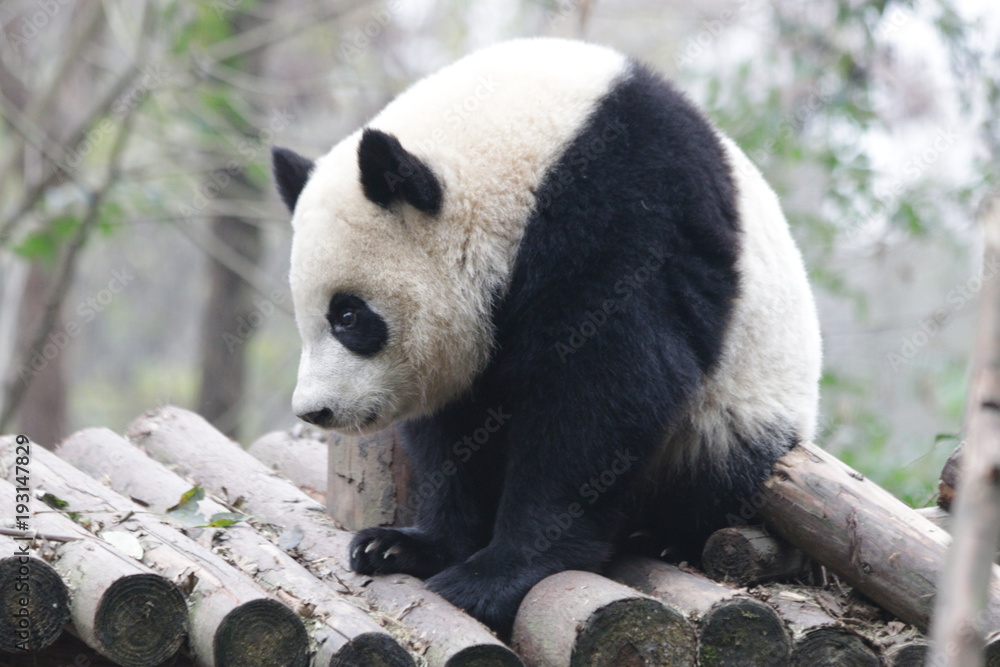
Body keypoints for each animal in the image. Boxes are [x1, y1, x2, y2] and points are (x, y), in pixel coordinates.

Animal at [271, 38, 821, 636]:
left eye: (348, 316)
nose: (315, 411)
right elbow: (458, 429)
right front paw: (406, 546)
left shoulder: (626, 216)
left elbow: (603, 396)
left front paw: (489, 578)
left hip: (734, 413)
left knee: (712, 477)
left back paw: (665, 538)